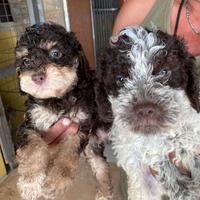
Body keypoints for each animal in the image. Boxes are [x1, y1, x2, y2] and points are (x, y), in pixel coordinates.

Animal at [15, 22, 112, 200]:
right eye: (25, 61)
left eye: (55, 53)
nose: (37, 77)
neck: (57, 99)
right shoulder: (29, 124)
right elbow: (33, 148)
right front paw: (30, 183)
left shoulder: (79, 126)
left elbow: (67, 155)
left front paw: (55, 183)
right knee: (101, 165)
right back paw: (104, 192)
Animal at [95, 25, 200, 199]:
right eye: (120, 79)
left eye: (164, 72)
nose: (144, 110)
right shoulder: (143, 149)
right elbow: (164, 161)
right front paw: (188, 190)